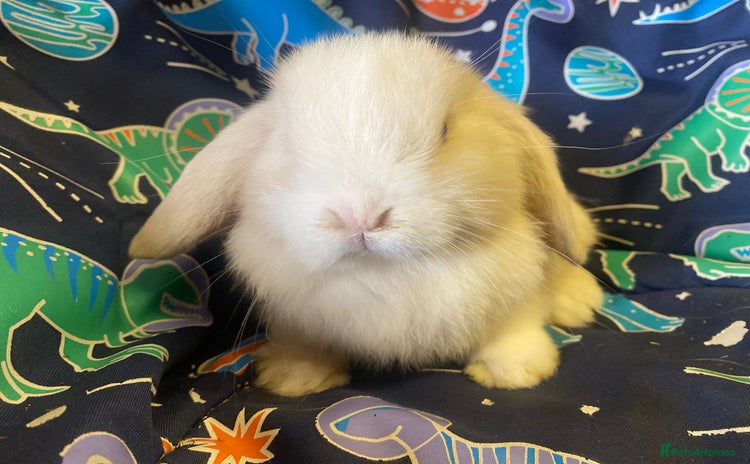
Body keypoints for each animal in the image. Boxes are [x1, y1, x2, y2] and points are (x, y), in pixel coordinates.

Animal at [129, 32, 603, 397]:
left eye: (445, 131)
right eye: (287, 141)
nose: (361, 217)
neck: (386, 277)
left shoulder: (513, 294)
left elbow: (513, 327)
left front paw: (515, 372)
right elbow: (304, 347)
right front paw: (294, 378)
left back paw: (580, 303)